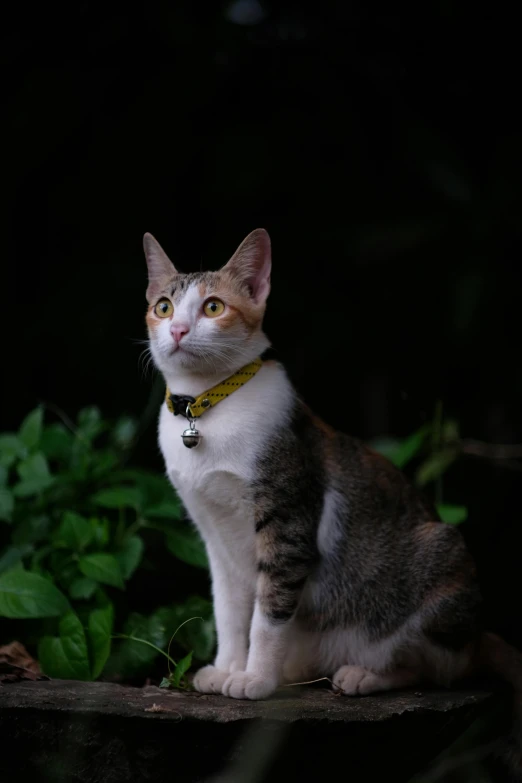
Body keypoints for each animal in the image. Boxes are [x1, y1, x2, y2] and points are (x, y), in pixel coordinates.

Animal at [142, 228, 520, 724]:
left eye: (213, 307)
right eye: (164, 306)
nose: (178, 330)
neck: (208, 408)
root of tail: (478, 637)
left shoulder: (288, 519)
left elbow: (269, 610)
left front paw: (254, 680)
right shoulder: (213, 533)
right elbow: (228, 608)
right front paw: (226, 668)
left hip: (440, 562)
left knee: (439, 669)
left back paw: (363, 675)